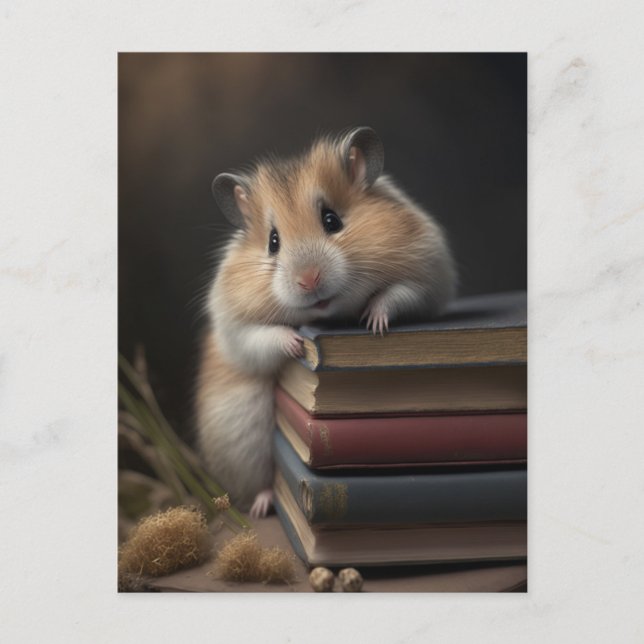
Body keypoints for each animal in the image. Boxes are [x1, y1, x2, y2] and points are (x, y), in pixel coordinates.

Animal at [195, 127, 456, 518]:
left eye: (332, 220)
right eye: (273, 242)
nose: (309, 280)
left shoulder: (426, 275)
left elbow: (395, 295)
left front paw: (374, 324)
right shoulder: (234, 327)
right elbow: (263, 336)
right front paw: (296, 344)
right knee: (261, 481)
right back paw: (261, 507)